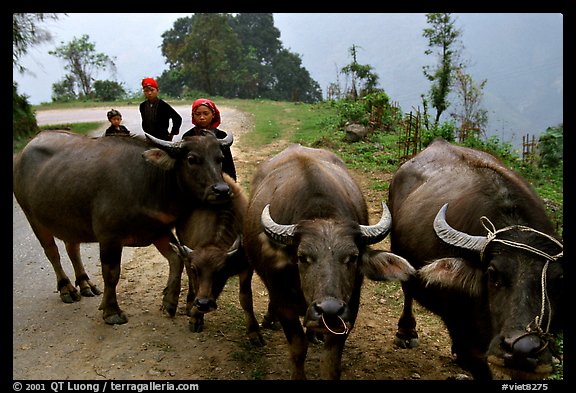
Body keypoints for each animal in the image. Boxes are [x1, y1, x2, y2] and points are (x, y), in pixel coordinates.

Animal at [11, 129, 232, 324]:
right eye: (192, 159)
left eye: (219, 158)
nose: (222, 190)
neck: (149, 182)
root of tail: (24, 152)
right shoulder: (109, 237)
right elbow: (111, 273)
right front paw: (111, 312)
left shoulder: (158, 231)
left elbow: (177, 258)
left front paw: (169, 301)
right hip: (33, 217)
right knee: (52, 252)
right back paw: (66, 288)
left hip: (68, 220)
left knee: (72, 248)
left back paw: (85, 284)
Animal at [172, 173, 264, 344]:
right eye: (195, 269)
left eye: (221, 271)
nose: (203, 304)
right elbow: (196, 285)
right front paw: (196, 318)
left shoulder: (247, 267)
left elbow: (246, 298)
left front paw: (254, 332)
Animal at [243, 143, 414, 376]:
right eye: (302, 257)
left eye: (352, 257)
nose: (329, 309)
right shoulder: (283, 301)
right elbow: (298, 349)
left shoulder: (349, 308)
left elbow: (331, 361)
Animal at [388, 139, 564, 380]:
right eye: (492, 274)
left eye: (557, 281)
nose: (522, 348)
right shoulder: (464, 337)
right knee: (407, 289)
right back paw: (406, 332)